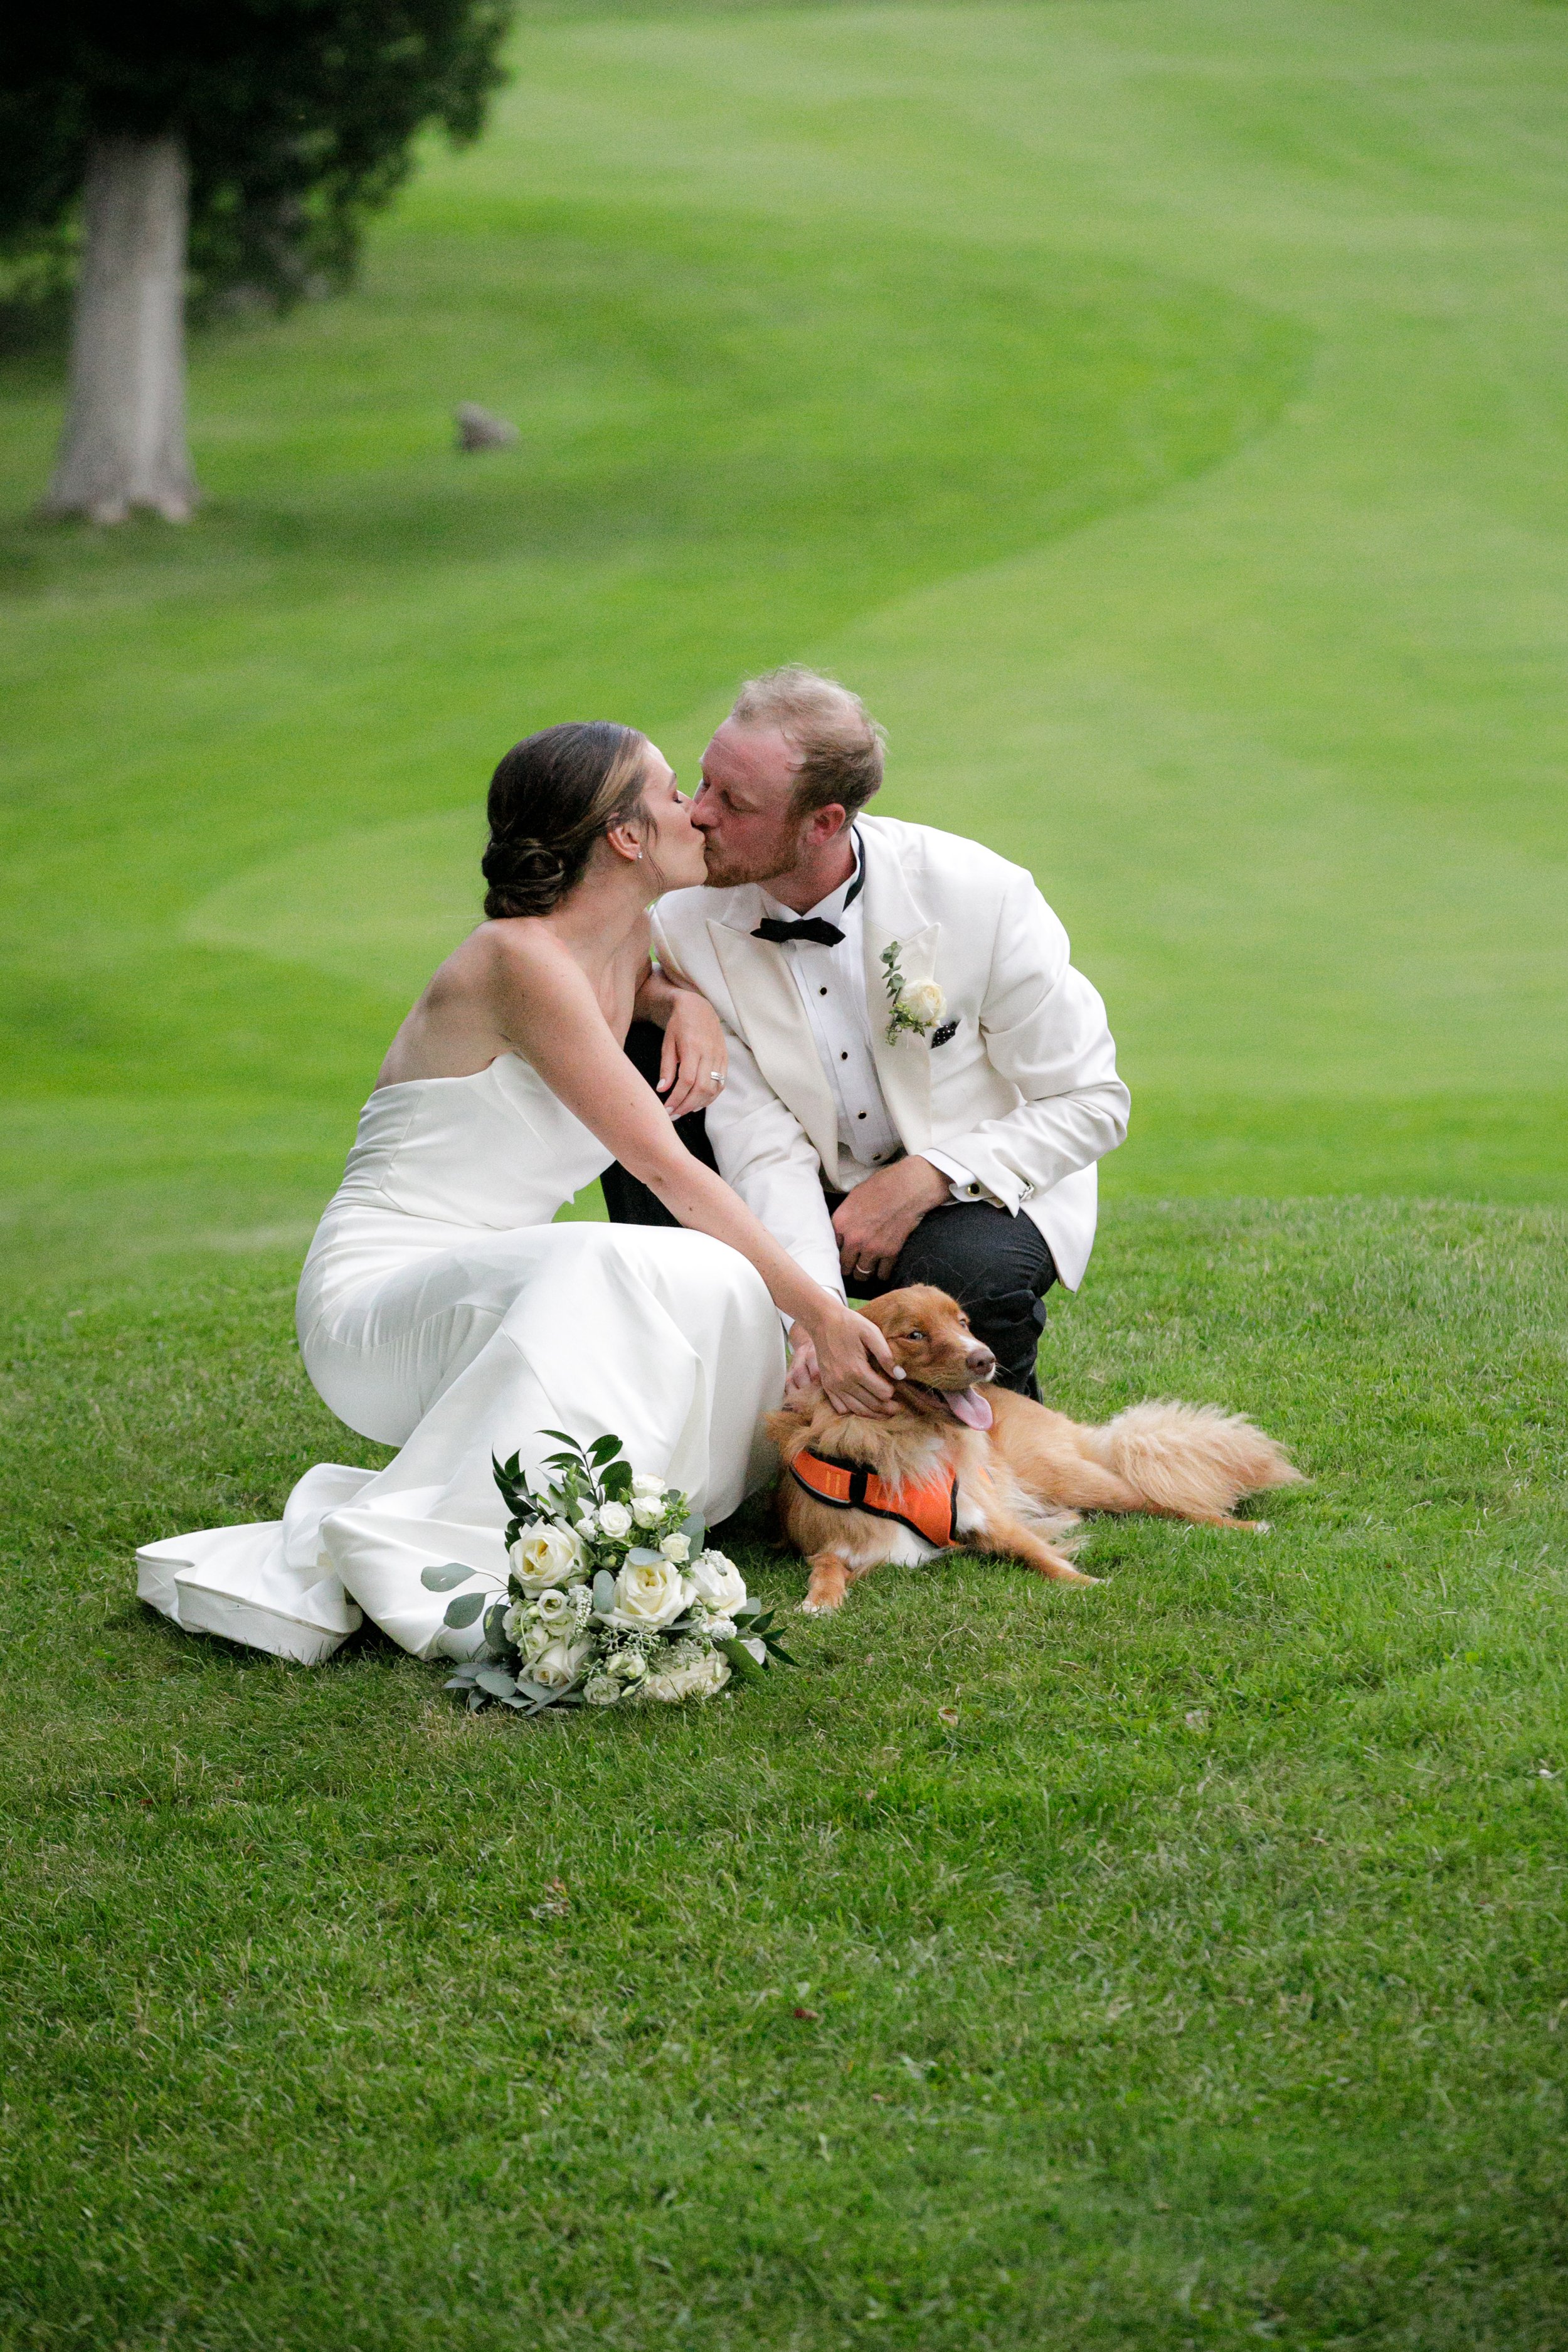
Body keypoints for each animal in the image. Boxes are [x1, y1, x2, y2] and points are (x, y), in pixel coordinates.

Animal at [771, 1289, 1297, 1618]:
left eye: (962, 1323)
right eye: (914, 1334)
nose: (985, 1358)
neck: (901, 1442)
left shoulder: (989, 1519)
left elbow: (1046, 1561)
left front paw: (1088, 1585)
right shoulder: (840, 1544)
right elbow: (826, 1568)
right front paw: (819, 1602)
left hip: (1072, 1477)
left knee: (1160, 1502)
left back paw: (1246, 1527)